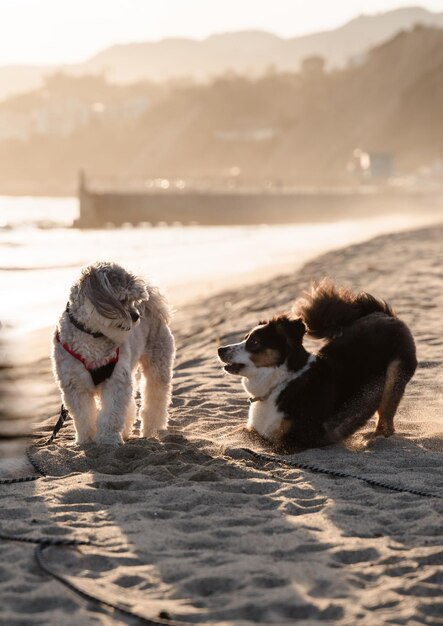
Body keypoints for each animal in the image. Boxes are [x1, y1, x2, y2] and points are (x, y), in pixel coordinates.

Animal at [51, 260, 175, 446]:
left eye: (133, 301)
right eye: (122, 299)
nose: (136, 316)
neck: (92, 335)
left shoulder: (115, 381)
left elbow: (111, 414)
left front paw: (108, 439)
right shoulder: (74, 386)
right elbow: (83, 416)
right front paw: (86, 440)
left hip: (157, 363)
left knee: (155, 398)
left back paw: (152, 431)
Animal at [220, 280, 418, 450]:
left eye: (254, 342)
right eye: (245, 338)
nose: (220, 349)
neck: (282, 382)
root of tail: (383, 314)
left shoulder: (295, 439)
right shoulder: (254, 429)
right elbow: (235, 432)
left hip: (394, 377)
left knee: (386, 420)